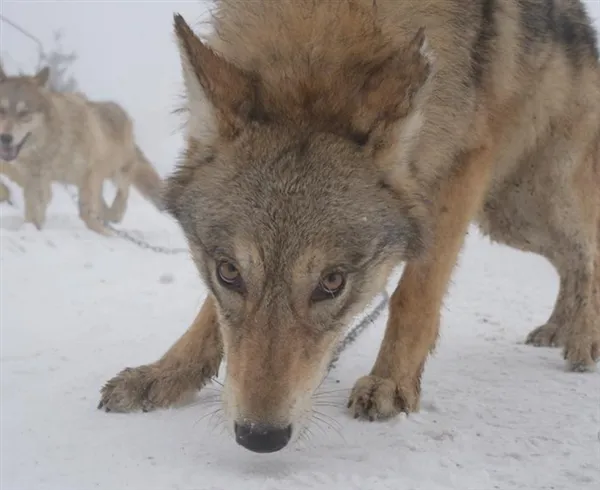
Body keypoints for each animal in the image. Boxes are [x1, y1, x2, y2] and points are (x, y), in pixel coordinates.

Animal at [0, 63, 164, 234]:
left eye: (24, 113)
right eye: (1, 110)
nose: (5, 138)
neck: (54, 149)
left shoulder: (92, 172)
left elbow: (86, 212)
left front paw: (103, 232)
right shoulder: (36, 181)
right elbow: (34, 214)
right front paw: (31, 230)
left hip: (118, 171)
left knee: (123, 191)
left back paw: (114, 215)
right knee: (104, 201)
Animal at [99, 0, 600, 454]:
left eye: (332, 282)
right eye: (228, 272)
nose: (260, 437)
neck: (322, 36)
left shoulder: (463, 165)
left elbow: (416, 294)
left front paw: (391, 382)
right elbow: (211, 315)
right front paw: (168, 373)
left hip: (536, 198)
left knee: (587, 248)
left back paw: (584, 335)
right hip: (509, 217)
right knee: (570, 258)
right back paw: (558, 328)